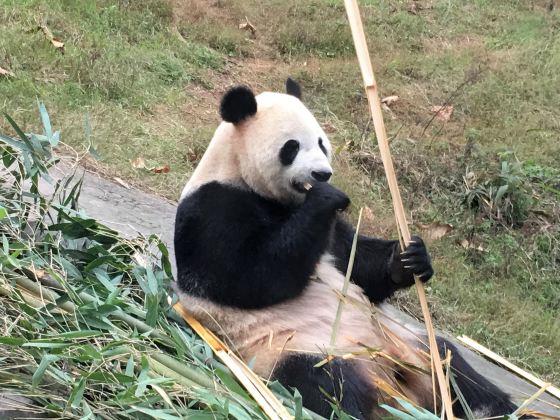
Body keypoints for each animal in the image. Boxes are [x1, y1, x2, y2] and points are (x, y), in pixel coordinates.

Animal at [174, 79, 516, 420]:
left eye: (322, 143)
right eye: (292, 147)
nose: (322, 174)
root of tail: (392, 388)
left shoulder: (331, 233)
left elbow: (357, 262)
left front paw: (410, 259)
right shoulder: (214, 206)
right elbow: (249, 277)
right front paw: (326, 197)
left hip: (411, 346)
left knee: (452, 364)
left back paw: (498, 408)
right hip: (294, 348)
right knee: (330, 384)